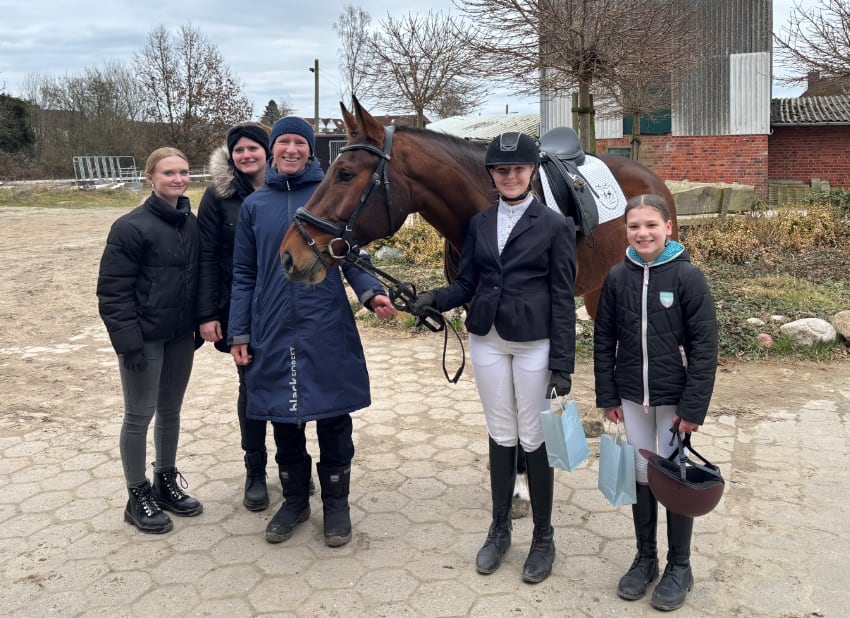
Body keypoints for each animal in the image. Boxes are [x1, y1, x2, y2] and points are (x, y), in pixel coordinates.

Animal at [278, 97, 676, 516]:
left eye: (345, 173)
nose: (289, 255)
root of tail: (651, 179)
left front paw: (523, 484)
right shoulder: (479, 316)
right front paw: (513, 478)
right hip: (600, 289)